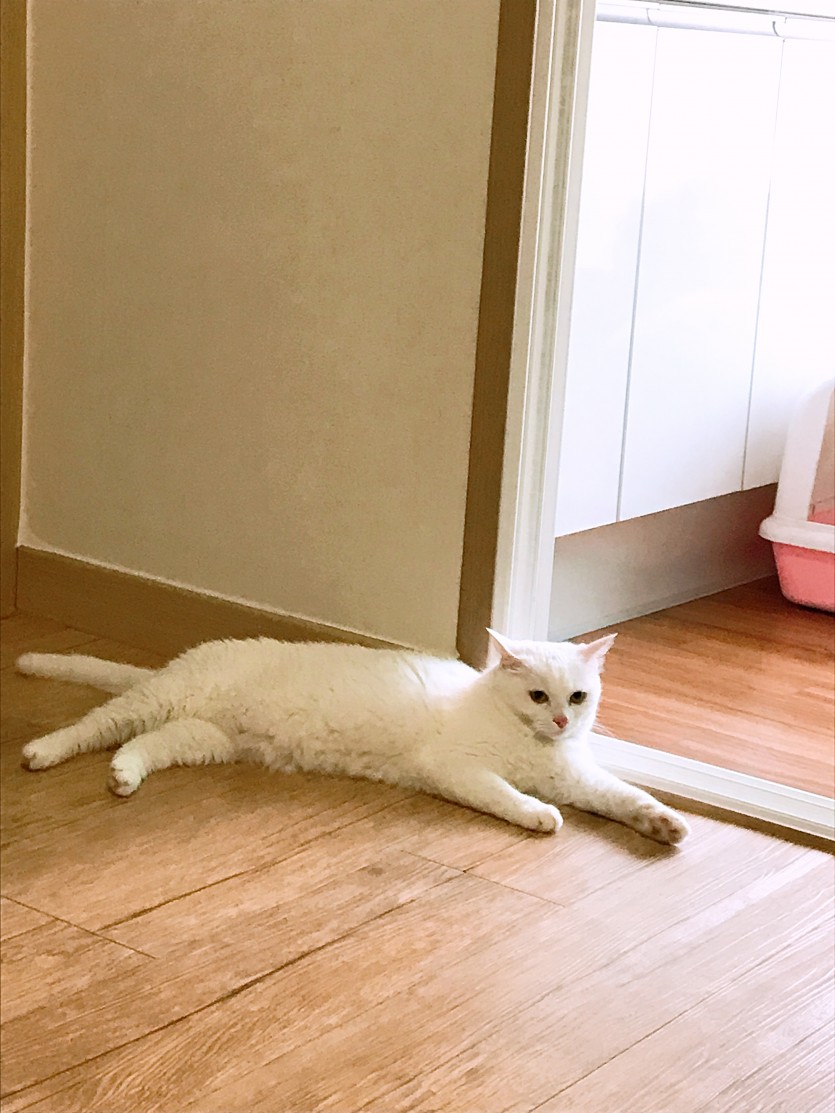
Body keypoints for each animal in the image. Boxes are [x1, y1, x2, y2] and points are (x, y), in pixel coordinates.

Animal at [17, 630, 690, 845]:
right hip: (154, 704)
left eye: (577, 697)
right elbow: (508, 796)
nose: (561, 722)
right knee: (94, 726)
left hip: (201, 737)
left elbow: (625, 796)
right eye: (537, 697)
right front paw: (540, 815)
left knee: (139, 747)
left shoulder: (576, 776)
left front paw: (665, 825)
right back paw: (42, 752)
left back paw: (123, 778)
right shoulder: (455, 768)